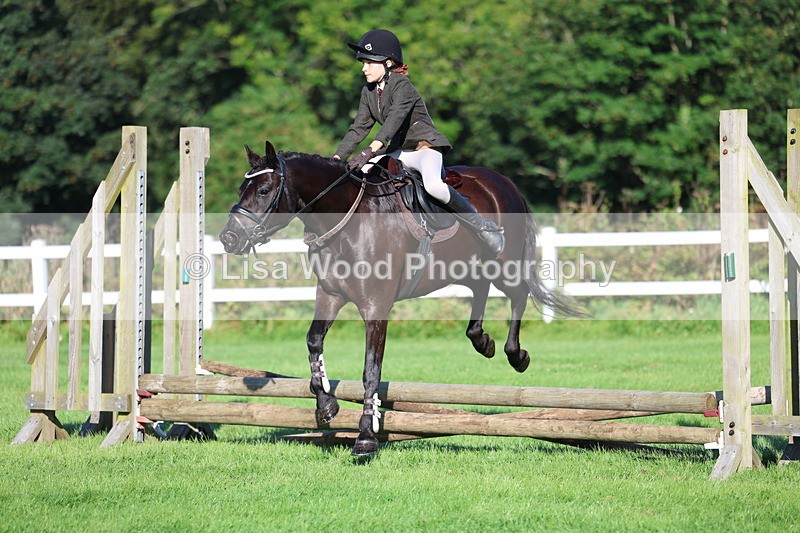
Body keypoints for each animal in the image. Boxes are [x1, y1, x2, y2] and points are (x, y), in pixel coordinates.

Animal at [219, 141, 578, 456]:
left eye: (264, 191)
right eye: (241, 190)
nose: (229, 238)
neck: (345, 224)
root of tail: (504, 181)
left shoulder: (376, 306)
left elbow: (371, 370)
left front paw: (366, 437)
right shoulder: (330, 295)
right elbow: (313, 342)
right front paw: (326, 407)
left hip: (504, 263)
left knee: (519, 294)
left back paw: (516, 355)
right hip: (467, 267)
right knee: (481, 290)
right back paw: (483, 341)